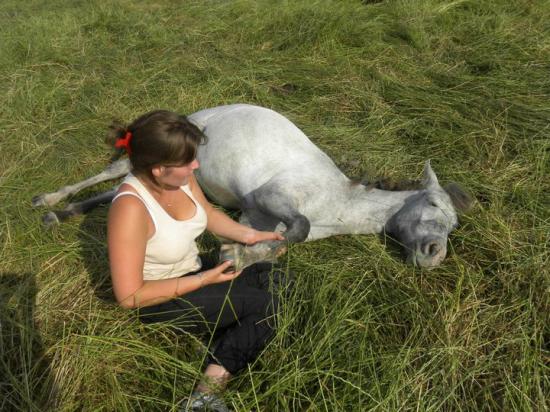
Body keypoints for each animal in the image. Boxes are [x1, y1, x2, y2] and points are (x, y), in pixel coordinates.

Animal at [32, 104, 472, 268]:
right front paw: (236, 255)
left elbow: (271, 245)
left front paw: (237, 254)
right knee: (114, 172)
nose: (434, 255)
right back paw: (50, 200)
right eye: (434, 206)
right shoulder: (270, 197)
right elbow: (298, 228)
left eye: (453, 226)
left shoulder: (252, 218)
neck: (336, 204)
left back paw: (63, 214)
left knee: (121, 190)